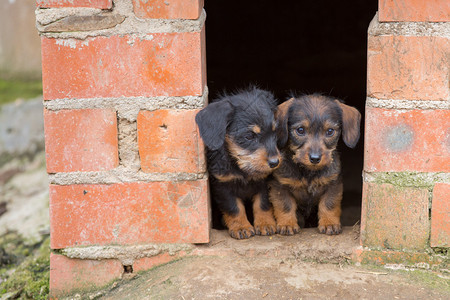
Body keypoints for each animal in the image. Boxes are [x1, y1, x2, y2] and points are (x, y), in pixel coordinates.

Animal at [196, 87, 282, 239]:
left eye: (274, 132)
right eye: (249, 136)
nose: (275, 162)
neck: (242, 168)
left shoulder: (264, 182)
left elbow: (262, 203)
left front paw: (265, 223)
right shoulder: (223, 186)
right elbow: (234, 207)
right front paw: (241, 227)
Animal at [268, 95, 360, 236]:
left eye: (330, 131)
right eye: (300, 130)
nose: (315, 158)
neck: (308, 172)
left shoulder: (333, 184)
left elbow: (328, 204)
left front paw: (329, 223)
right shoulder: (279, 186)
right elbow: (285, 205)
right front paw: (287, 224)